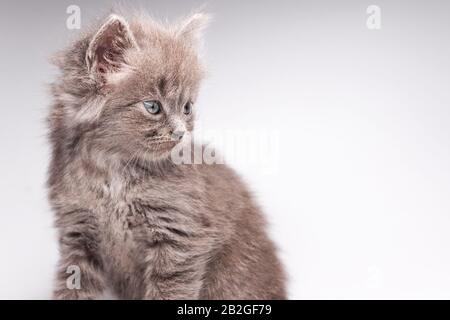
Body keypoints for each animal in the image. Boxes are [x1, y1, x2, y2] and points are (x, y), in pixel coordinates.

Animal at [48, 10, 284, 300]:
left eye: (187, 107)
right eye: (152, 106)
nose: (181, 132)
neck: (113, 170)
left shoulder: (179, 234)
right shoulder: (76, 229)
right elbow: (73, 287)